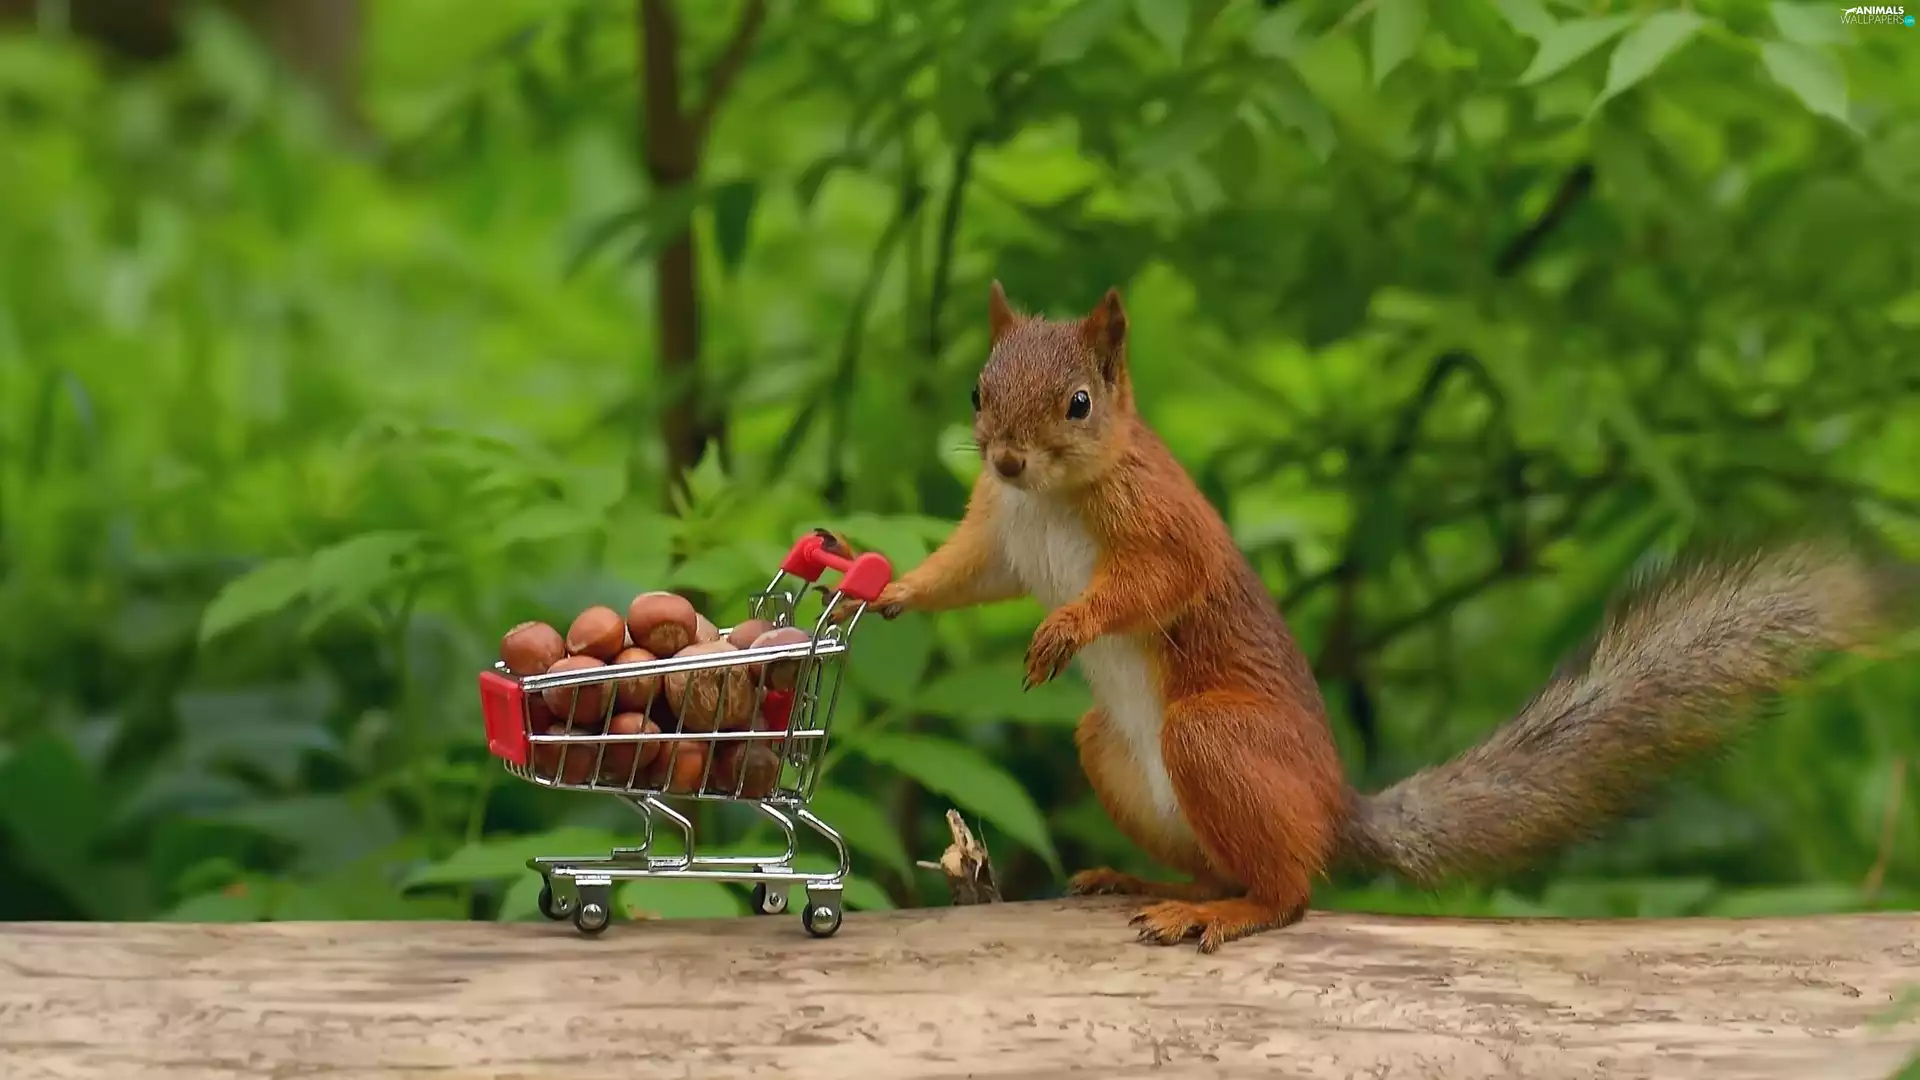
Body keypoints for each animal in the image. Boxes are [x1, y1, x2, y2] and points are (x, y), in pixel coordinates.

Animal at [858, 281, 1915, 953]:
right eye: (977, 388)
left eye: (1079, 402)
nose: (1004, 456)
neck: (1046, 498)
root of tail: (1336, 811)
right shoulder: (997, 531)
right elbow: (964, 574)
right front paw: (891, 590)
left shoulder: (1161, 524)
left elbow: (1157, 581)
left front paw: (1067, 628)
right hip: (1112, 752)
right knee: (1223, 865)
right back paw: (1151, 884)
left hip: (1213, 738)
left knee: (1288, 893)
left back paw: (1222, 915)